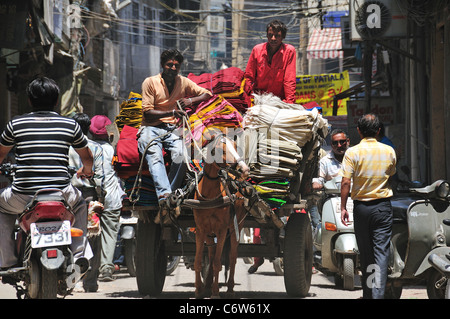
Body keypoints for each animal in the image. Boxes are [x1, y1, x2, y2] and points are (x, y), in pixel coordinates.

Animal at [193, 134, 250, 298]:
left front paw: (215, 293)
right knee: (212, 254)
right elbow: (198, 261)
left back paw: (229, 289)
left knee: (232, 258)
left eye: (236, 147)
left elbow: (218, 263)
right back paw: (207, 284)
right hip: (209, 233)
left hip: (237, 227)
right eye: (220, 149)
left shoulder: (222, 230)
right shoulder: (200, 229)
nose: (244, 169)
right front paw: (198, 290)